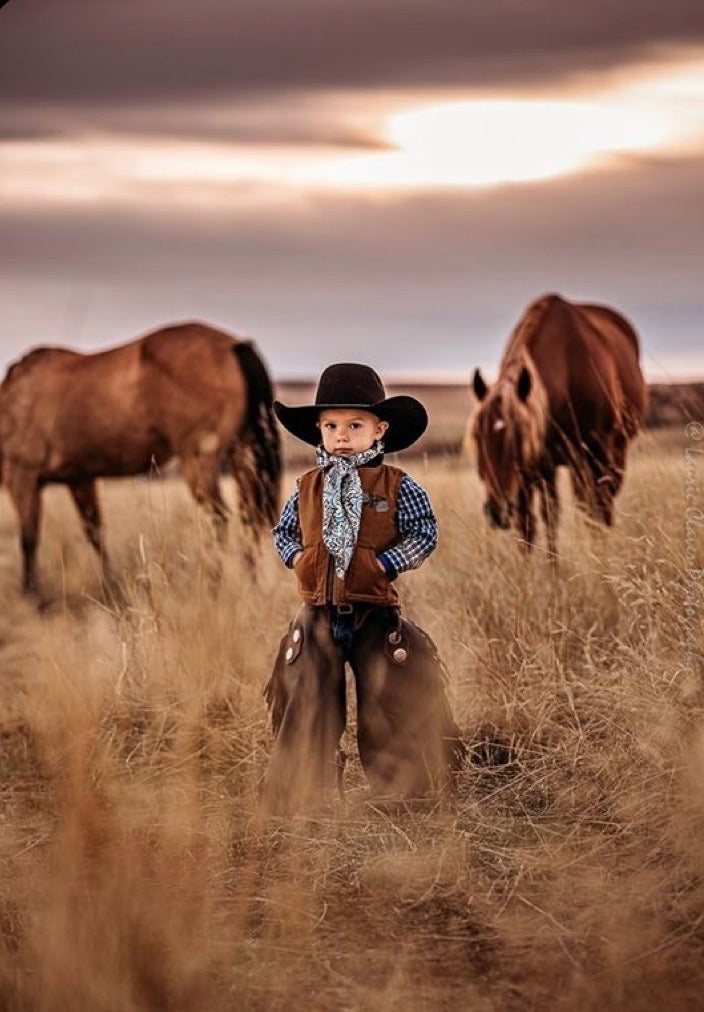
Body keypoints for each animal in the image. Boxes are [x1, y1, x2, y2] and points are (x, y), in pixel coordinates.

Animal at [0, 321, 281, 593]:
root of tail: (235, 345)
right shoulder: (79, 479)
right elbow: (95, 533)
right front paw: (109, 585)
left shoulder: (22, 477)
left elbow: (29, 539)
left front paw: (32, 594)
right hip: (243, 454)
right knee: (250, 516)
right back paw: (251, 583)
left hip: (199, 462)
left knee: (218, 518)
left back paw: (215, 586)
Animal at [469, 293, 647, 557]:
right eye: (478, 438)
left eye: (519, 437)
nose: (497, 511)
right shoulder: (535, 467)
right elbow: (532, 524)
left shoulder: (594, 455)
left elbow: (574, 513)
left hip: (610, 454)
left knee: (600, 506)